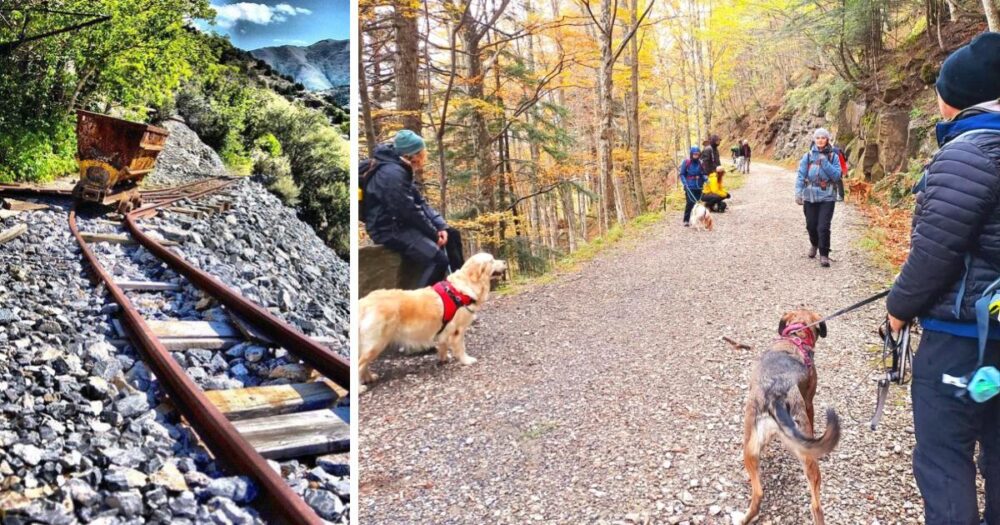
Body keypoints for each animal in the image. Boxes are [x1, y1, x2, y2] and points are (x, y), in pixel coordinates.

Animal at [740, 310, 840, 520]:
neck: (796, 336)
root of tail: (775, 395)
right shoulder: (809, 403)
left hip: (749, 449)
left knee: (758, 494)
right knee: (816, 505)